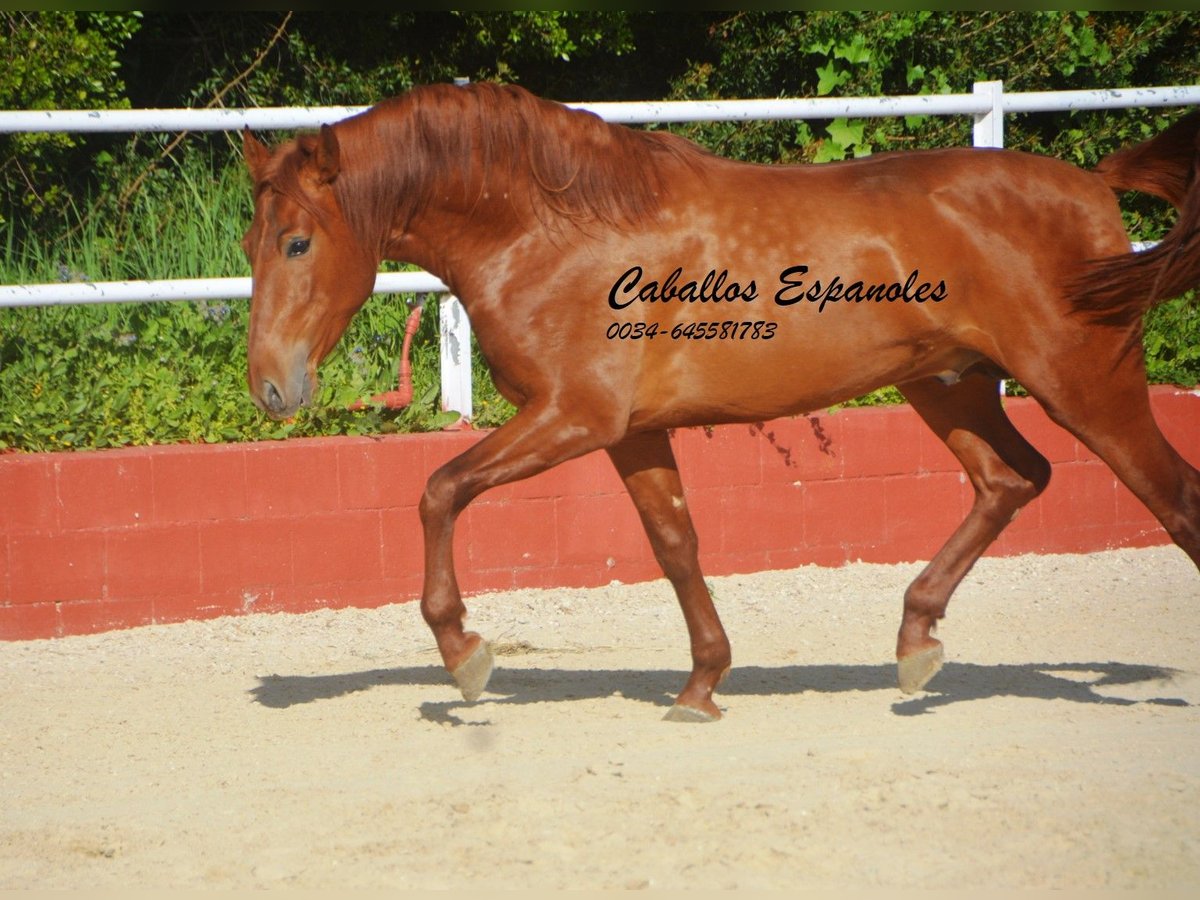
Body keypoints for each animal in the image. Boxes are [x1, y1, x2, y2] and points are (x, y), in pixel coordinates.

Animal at [240, 82, 1200, 722]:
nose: (272, 388)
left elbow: (439, 490)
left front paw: (466, 656)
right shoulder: (629, 433)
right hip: (949, 386)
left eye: (298, 242)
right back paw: (916, 643)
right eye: (251, 242)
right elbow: (676, 545)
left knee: (1172, 498)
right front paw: (702, 683)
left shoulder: (572, 418)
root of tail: (1094, 186)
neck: (555, 232)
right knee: (1012, 479)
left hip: (1086, 384)